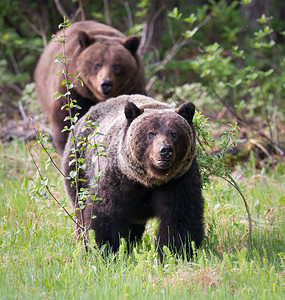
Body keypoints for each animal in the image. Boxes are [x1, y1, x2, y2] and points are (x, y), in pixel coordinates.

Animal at [35, 20, 145, 155]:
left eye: (117, 66)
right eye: (97, 64)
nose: (106, 84)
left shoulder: (133, 86)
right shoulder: (73, 92)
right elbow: (66, 121)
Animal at [63, 94, 203, 258]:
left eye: (174, 133)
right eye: (151, 133)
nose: (165, 150)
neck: (148, 180)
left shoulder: (178, 180)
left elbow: (180, 218)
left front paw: (176, 252)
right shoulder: (117, 179)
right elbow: (105, 216)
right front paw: (106, 251)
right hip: (78, 170)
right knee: (80, 211)